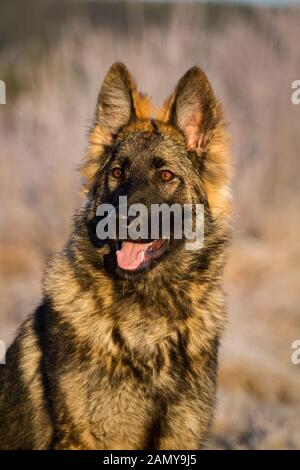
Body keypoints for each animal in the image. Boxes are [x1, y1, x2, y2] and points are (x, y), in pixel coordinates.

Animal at [0, 62, 231, 448]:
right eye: (117, 172)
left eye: (165, 175)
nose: (120, 219)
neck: (149, 321)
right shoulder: (91, 437)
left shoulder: (181, 436)